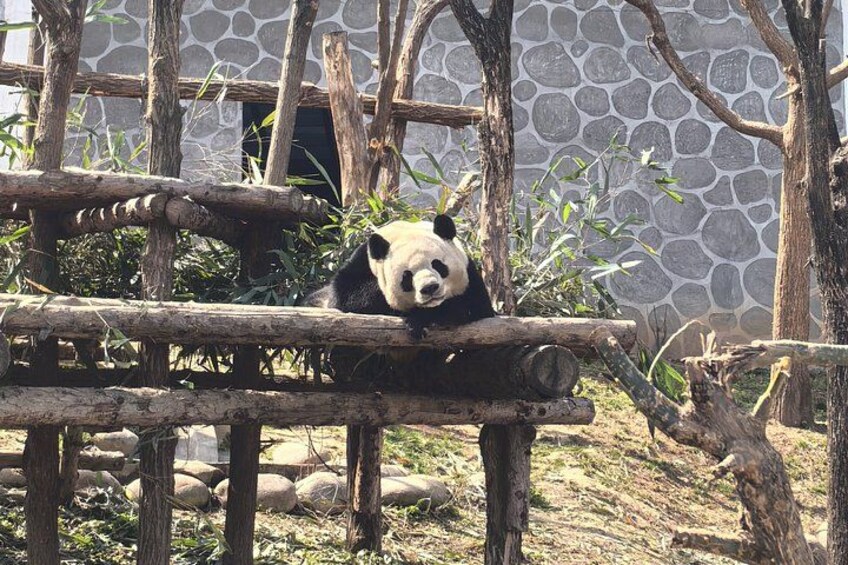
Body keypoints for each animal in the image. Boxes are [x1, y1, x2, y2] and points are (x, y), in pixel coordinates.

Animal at [303, 214, 495, 339]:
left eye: (438, 265)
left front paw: (421, 320)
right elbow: (349, 296)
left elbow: (475, 307)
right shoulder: (362, 261)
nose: (429, 288)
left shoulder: (471, 277)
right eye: (407, 276)